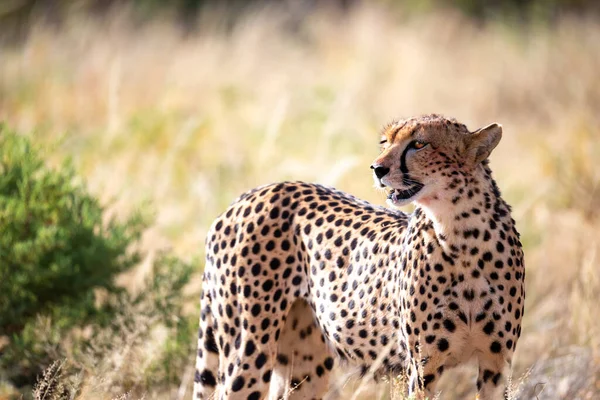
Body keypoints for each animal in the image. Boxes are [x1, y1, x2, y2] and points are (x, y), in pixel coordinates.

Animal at [193, 114, 524, 398]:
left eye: (419, 144)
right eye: (385, 142)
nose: (377, 169)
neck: (462, 233)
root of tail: (249, 195)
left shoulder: (497, 364)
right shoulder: (422, 367)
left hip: (305, 362)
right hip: (249, 348)